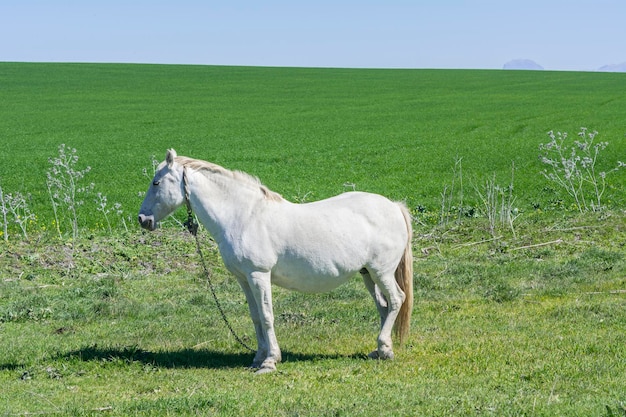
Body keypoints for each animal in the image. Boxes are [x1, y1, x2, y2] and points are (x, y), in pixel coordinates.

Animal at [138, 150, 412, 374]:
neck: (243, 216)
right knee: (383, 306)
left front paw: (270, 361)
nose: (143, 219)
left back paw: (384, 347)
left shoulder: (259, 274)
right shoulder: (244, 278)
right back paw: (381, 350)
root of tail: (394, 206)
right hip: (367, 274)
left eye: (156, 182)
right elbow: (256, 317)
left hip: (381, 272)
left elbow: (267, 315)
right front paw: (258, 358)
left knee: (396, 299)